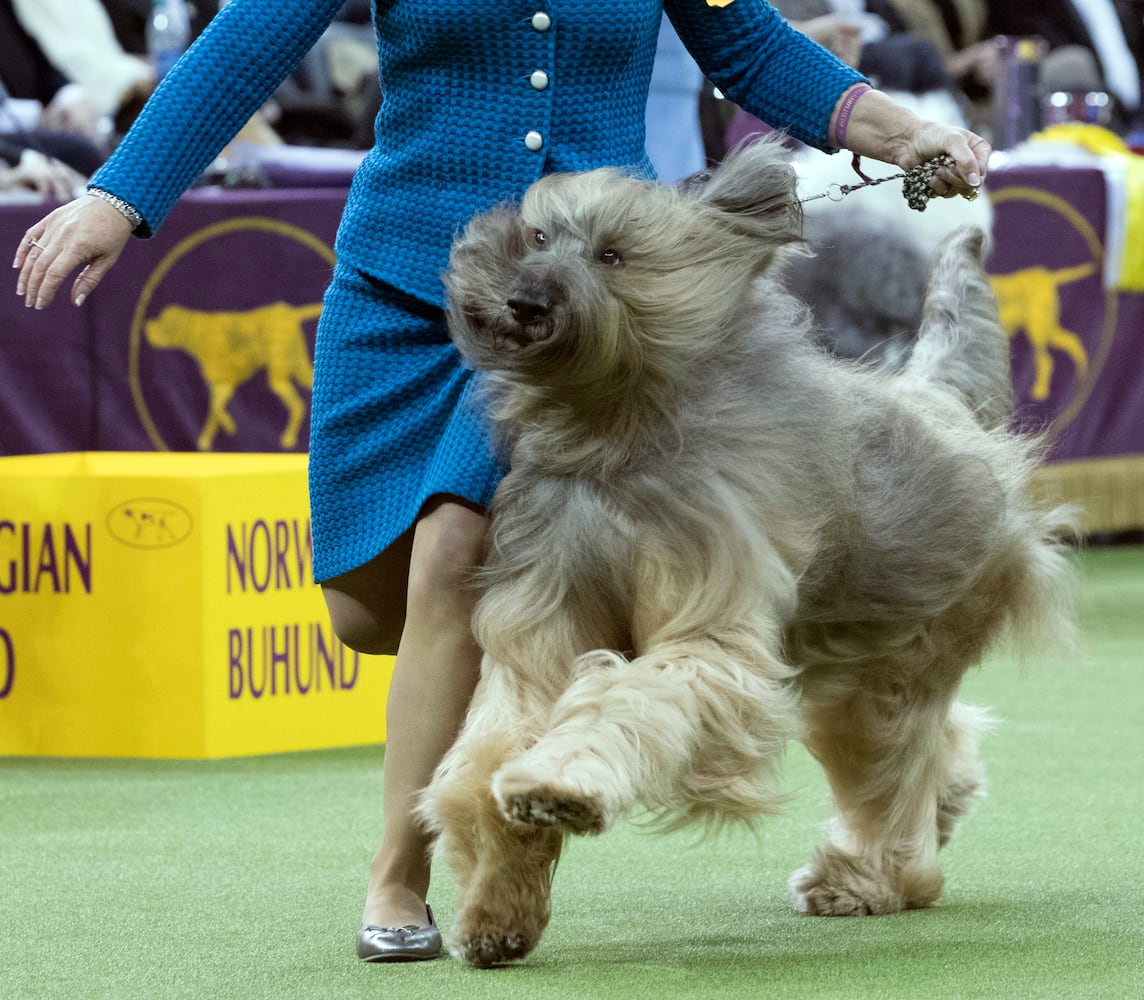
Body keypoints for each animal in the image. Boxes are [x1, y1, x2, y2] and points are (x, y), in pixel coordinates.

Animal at [418, 138, 1070, 965]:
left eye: (611, 254)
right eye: (538, 237)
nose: (525, 301)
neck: (612, 430)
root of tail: (941, 398)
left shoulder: (709, 623)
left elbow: (628, 700)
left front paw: (554, 791)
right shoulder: (543, 622)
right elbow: (492, 752)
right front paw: (497, 907)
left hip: (896, 658)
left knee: (890, 773)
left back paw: (865, 878)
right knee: (931, 749)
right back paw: (944, 806)